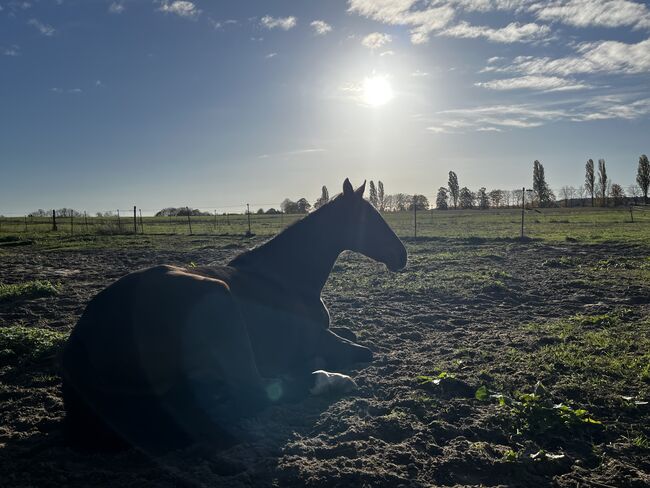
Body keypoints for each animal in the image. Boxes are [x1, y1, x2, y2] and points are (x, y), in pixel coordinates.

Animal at [59, 177, 404, 452]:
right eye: (370, 220)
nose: (402, 255)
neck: (283, 278)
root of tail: (82, 337)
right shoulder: (315, 336)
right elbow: (363, 350)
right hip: (219, 303)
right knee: (254, 392)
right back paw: (328, 379)